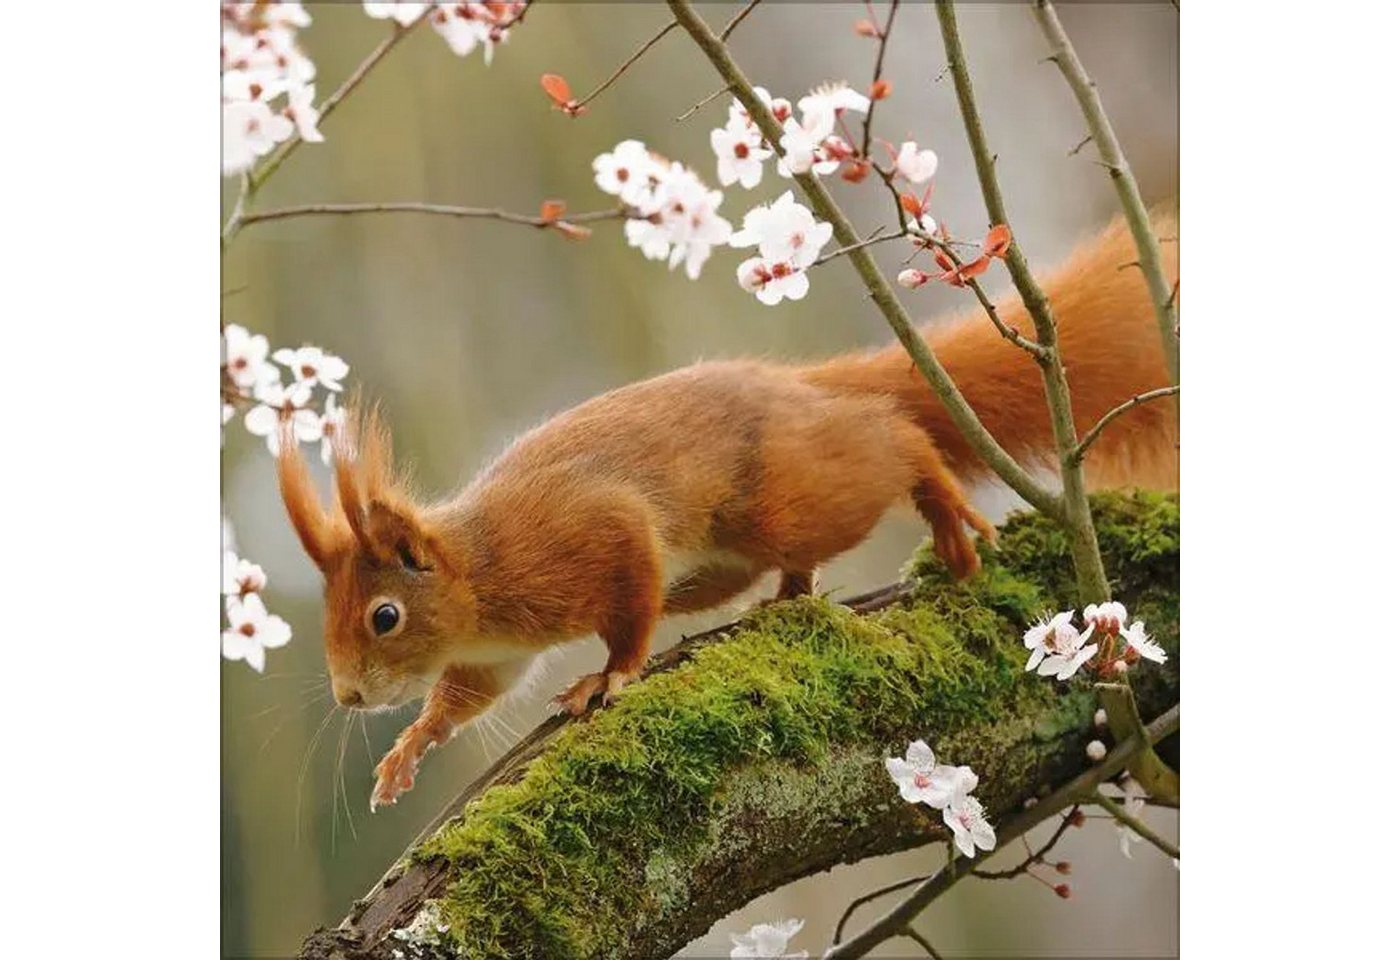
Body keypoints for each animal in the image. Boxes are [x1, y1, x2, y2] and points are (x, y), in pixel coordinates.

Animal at [274, 213, 1178, 810]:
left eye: (384, 616)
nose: (349, 697)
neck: (477, 573)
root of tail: (799, 386)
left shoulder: (594, 534)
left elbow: (629, 607)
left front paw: (608, 676)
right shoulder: (491, 655)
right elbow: (465, 699)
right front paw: (408, 749)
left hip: (793, 497)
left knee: (894, 441)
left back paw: (944, 510)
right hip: (725, 563)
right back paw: (790, 597)